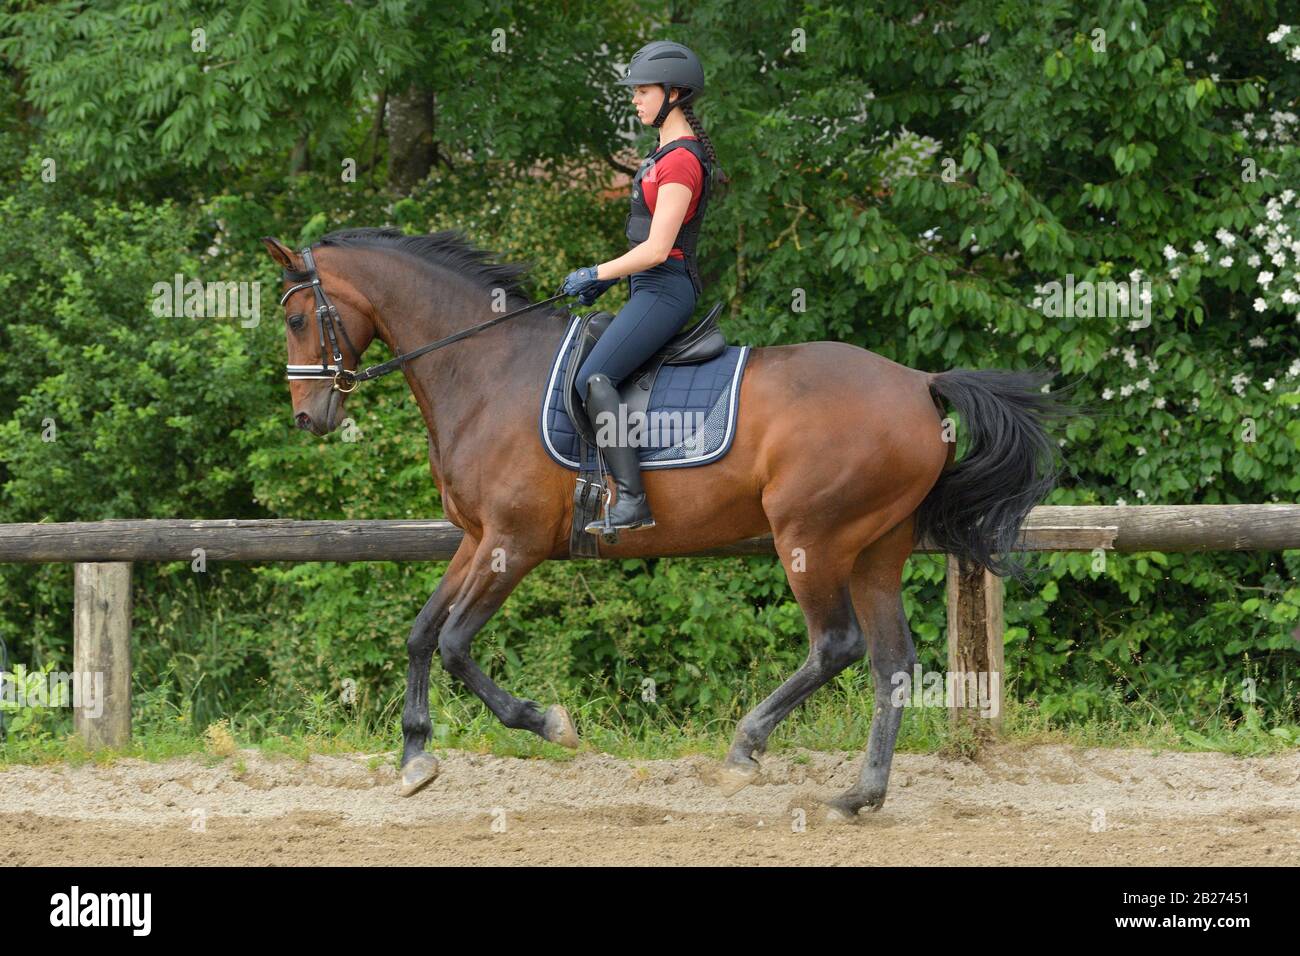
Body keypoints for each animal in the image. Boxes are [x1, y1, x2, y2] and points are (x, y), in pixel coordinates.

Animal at [261, 226, 1066, 822]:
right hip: (874, 548)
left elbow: (457, 646)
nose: (307, 418)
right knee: (891, 662)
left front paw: (551, 725)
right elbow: (422, 634)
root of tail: (919, 384)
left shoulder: (514, 545)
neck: (486, 371)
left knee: (837, 645)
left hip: (812, 537)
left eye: (298, 319)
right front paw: (415, 759)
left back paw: (746, 750)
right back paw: (859, 797)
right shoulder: (476, 539)